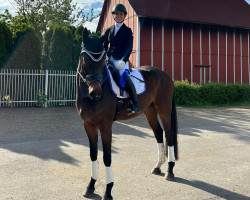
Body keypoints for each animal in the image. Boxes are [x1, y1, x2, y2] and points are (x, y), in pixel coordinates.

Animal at [76, 27, 178, 198]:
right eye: (84, 59)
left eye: (102, 61)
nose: (95, 93)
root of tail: (166, 76)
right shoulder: (88, 125)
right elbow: (93, 155)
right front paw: (90, 186)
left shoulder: (105, 126)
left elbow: (107, 157)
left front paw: (108, 190)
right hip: (149, 110)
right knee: (158, 132)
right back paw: (158, 166)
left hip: (163, 108)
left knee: (168, 133)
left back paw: (170, 171)